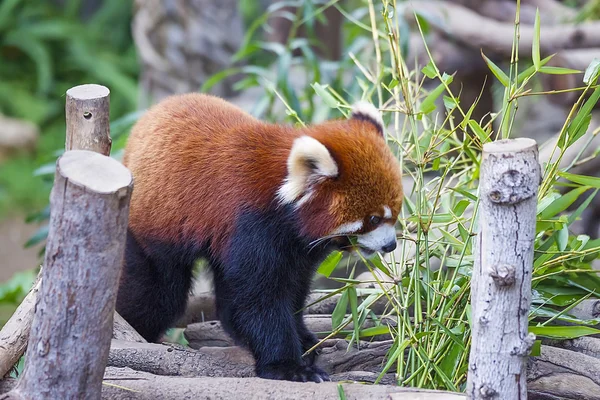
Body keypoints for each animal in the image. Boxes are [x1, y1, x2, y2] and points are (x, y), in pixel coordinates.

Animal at [116, 92, 404, 382]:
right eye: (374, 219)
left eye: (395, 212)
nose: (391, 245)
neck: (283, 198)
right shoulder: (252, 226)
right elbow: (259, 299)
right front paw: (288, 366)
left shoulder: (297, 249)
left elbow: (293, 290)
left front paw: (303, 339)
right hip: (152, 228)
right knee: (159, 295)